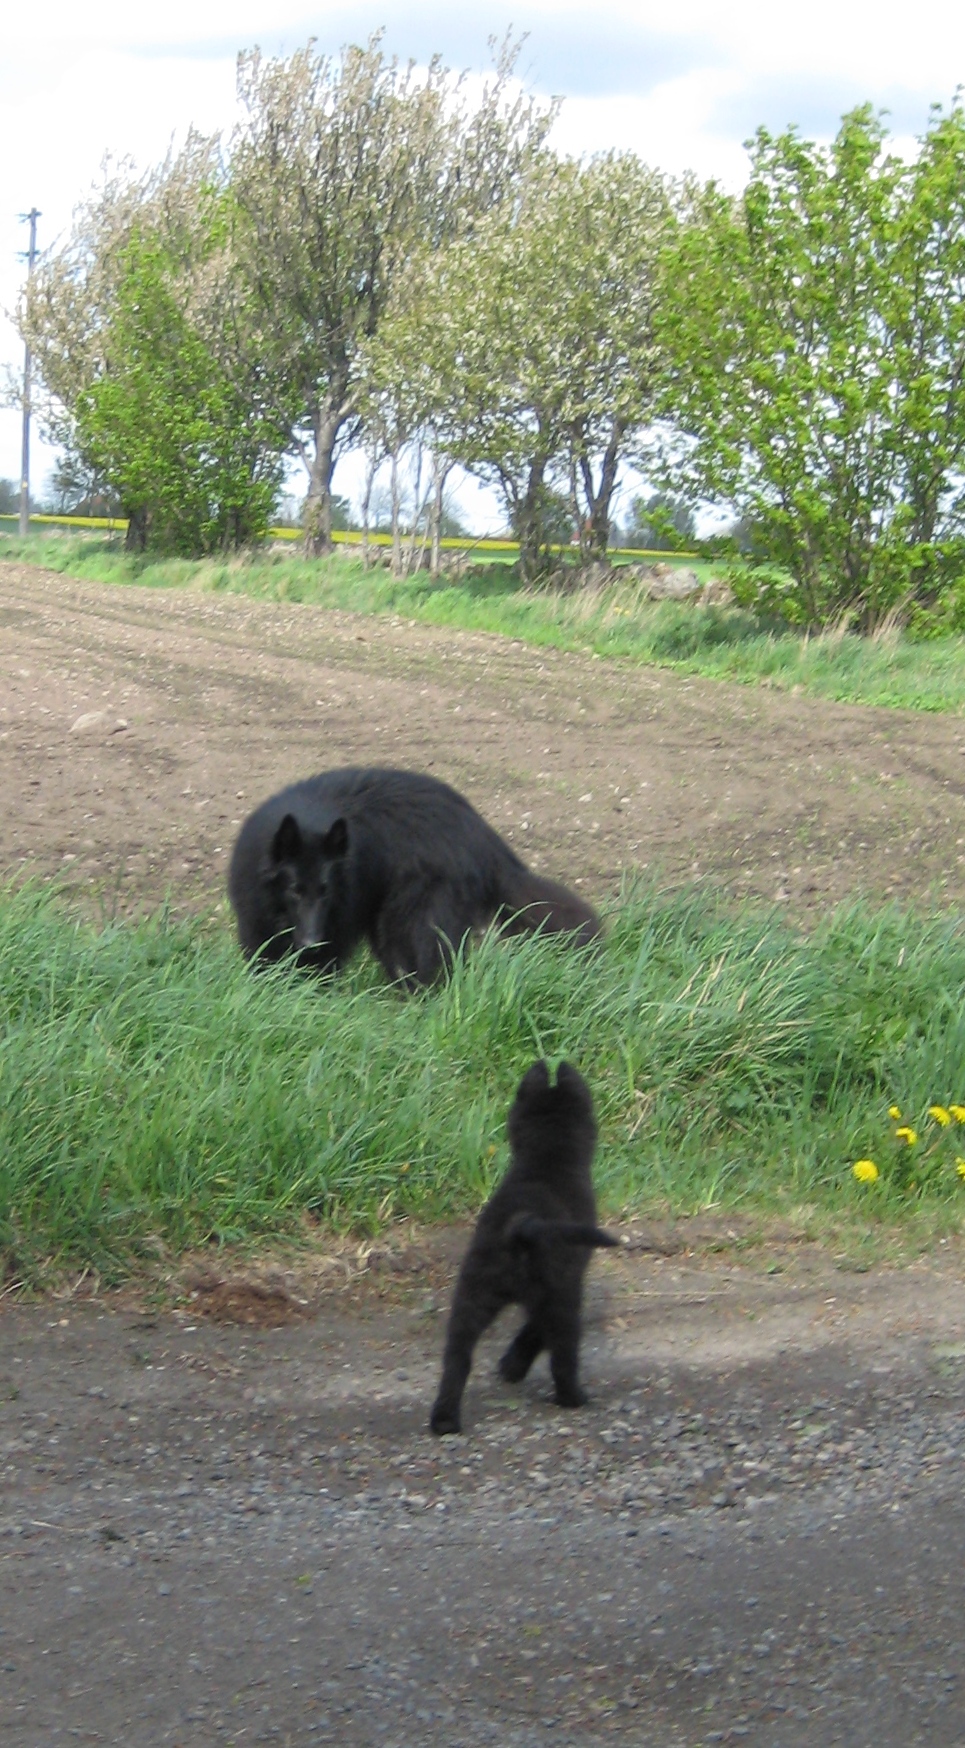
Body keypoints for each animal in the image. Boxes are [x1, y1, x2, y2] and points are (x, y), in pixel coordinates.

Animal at [229, 762, 597, 992]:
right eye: (294, 889)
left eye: (326, 891)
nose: (312, 942)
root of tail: (482, 835)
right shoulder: (258, 928)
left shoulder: (336, 927)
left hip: (410, 919)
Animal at [431, 1055, 618, 1440]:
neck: (547, 1159)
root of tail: (523, 1222)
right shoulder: (570, 1279)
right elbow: (535, 1332)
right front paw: (513, 1366)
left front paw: (510, 1366)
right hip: (559, 1296)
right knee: (562, 1355)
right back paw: (574, 1398)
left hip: (472, 1294)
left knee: (457, 1358)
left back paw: (444, 1420)